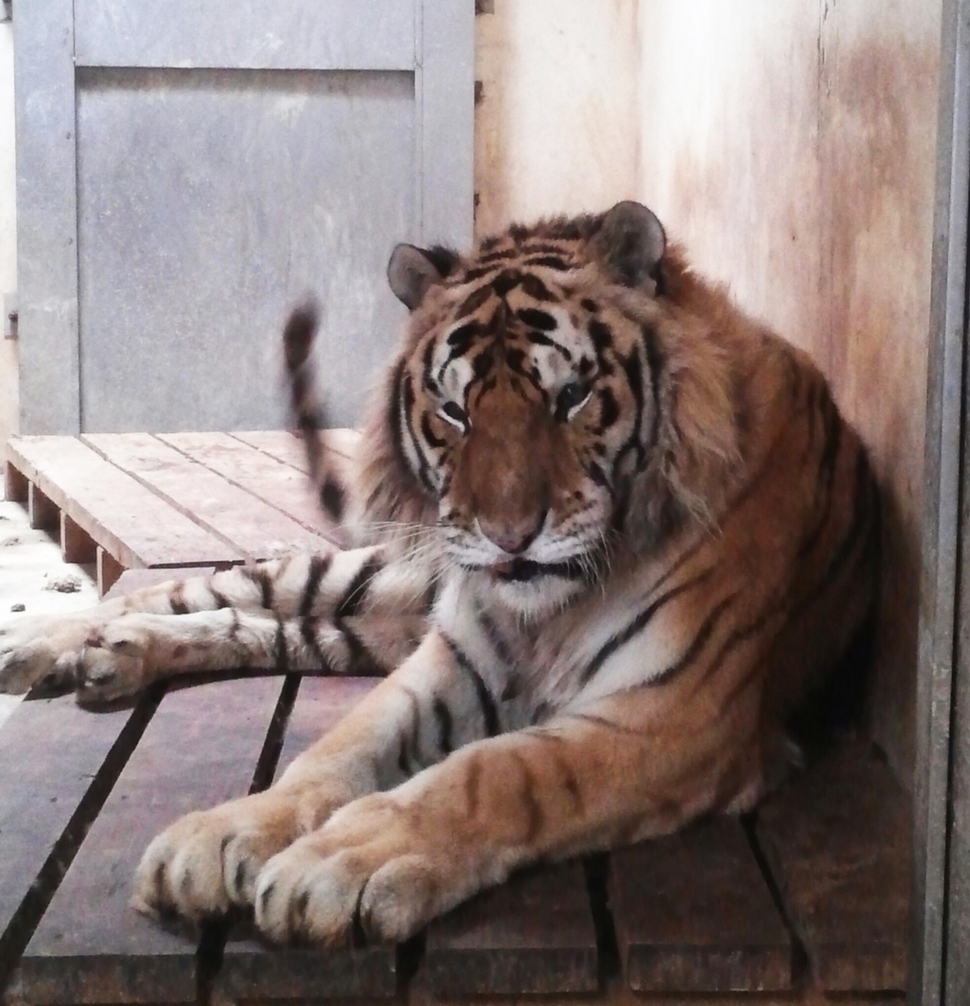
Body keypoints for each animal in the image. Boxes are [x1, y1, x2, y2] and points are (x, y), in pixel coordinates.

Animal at [0, 202, 877, 941]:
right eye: (456, 411)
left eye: (572, 396)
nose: (509, 538)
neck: (546, 616)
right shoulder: (455, 659)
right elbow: (341, 749)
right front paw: (226, 834)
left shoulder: (675, 712)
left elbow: (499, 771)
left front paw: (338, 863)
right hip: (372, 576)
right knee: (211, 589)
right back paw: (56, 646)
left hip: (366, 625)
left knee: (278, 627)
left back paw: (110, 655)